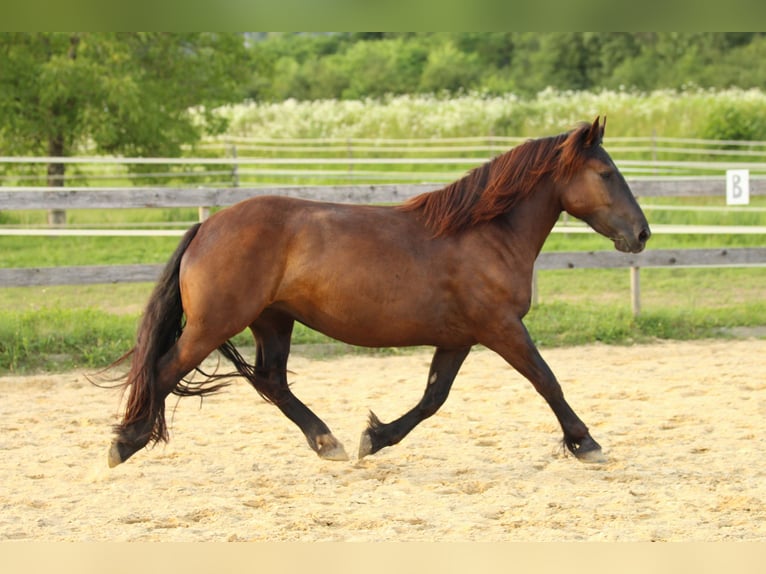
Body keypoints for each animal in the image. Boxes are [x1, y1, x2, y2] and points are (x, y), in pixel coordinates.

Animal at [105, 116, 652, 468]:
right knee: (163, 369)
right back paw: (124, 443)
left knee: (272, 382)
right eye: (606, 173)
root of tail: (208, 226)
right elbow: (547, 381)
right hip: (215, 324)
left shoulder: (460, 337)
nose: (642, 234)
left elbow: (433, 398)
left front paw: (375, 437)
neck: (485, 235)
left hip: (273, 320)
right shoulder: (501, 327)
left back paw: (327, 442)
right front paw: (586, 443)